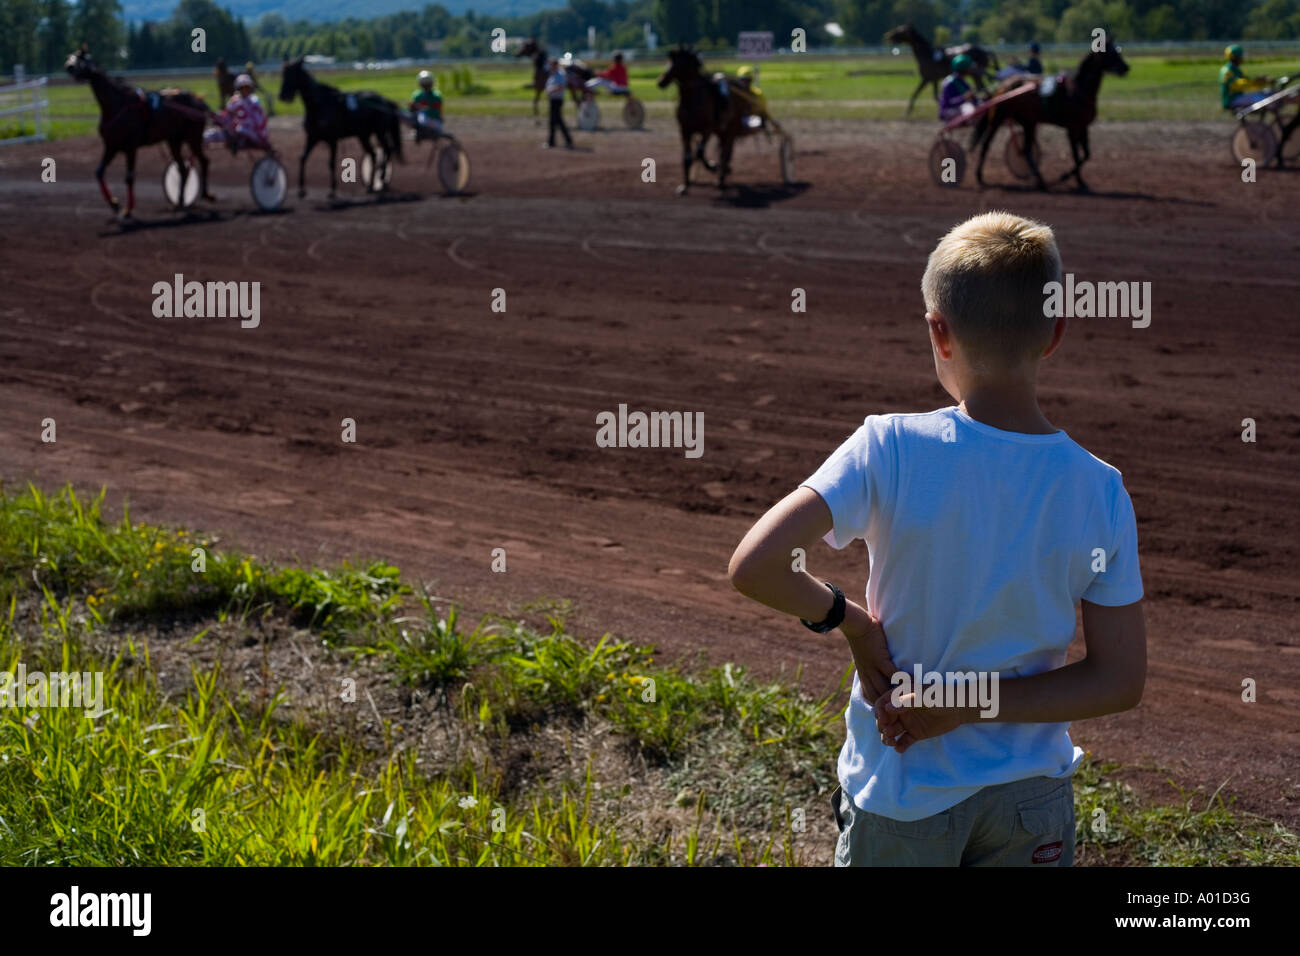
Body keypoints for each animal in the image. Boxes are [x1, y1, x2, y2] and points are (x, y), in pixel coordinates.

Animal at [65, 46, 211, 217]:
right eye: (70, 56)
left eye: (81, 57)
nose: (69, 66)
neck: (116, 105)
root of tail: (198, 101)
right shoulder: (111, 146)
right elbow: (99, 172)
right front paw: (114, 203)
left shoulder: (130, 147)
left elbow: (129, 177)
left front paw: (128, 209)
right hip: (174, 140)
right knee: (183, 169)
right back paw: (180, 202)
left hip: (193, 137)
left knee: (204, 161)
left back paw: (206, 194)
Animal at [280, 56, 403, 199]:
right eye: (283, 73)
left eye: (292, 74)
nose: (282, 95)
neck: (320, 104)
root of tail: (384, 100)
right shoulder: (312, 137)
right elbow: (302, 158)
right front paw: (301, 190)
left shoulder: (332, 140)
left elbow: (331, 163)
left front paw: (332, 191)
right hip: (363, 135)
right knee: (373, 154)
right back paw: (370, 186)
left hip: (379, 132)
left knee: (387, 149)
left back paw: (382, 179)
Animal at [660, 45, 743, 195]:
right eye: (669, 61)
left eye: (679, 64)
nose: (661, 81)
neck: (692, 100)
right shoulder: (684, 130)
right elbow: (687, 158)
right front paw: (685, 185)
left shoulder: (706, 129)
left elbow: (699, 152)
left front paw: (712, 166)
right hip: (720, 131)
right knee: (724, 151)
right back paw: (723, 172)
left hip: (731, 129)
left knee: (726, 152)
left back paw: (721, 179)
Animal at [972, 44, 1133, 192]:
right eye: (1111, 52)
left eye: (1117, 50)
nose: (1126, 67)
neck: (1079, 91)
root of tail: (1004, 85)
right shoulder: (1072, 128)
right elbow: (1076, 155)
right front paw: (1070, 178)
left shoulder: (1083, 126)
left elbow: (1086, 154)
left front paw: (1077, 180)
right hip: (998, 119)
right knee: (986, 144)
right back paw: (979, 176)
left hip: (1029, 123)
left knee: (1026, 150)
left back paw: (1040, 180)